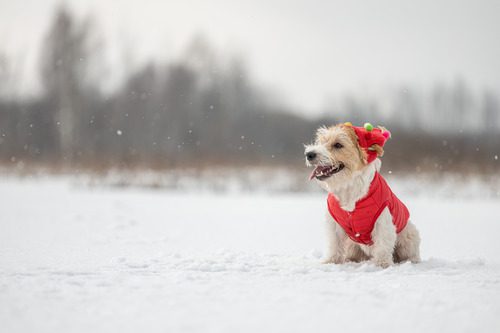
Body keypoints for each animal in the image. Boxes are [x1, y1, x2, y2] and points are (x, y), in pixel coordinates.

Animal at [302, 122, 420, 268]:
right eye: (321, 141)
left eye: (338, 145)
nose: (309, 154)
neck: (348, 186)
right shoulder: (334, 223)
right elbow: (334, 244)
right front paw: (331, 261)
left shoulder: (382, 222)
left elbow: (383, 245)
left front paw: (382, 264)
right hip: (352, 245)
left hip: (409, 237)